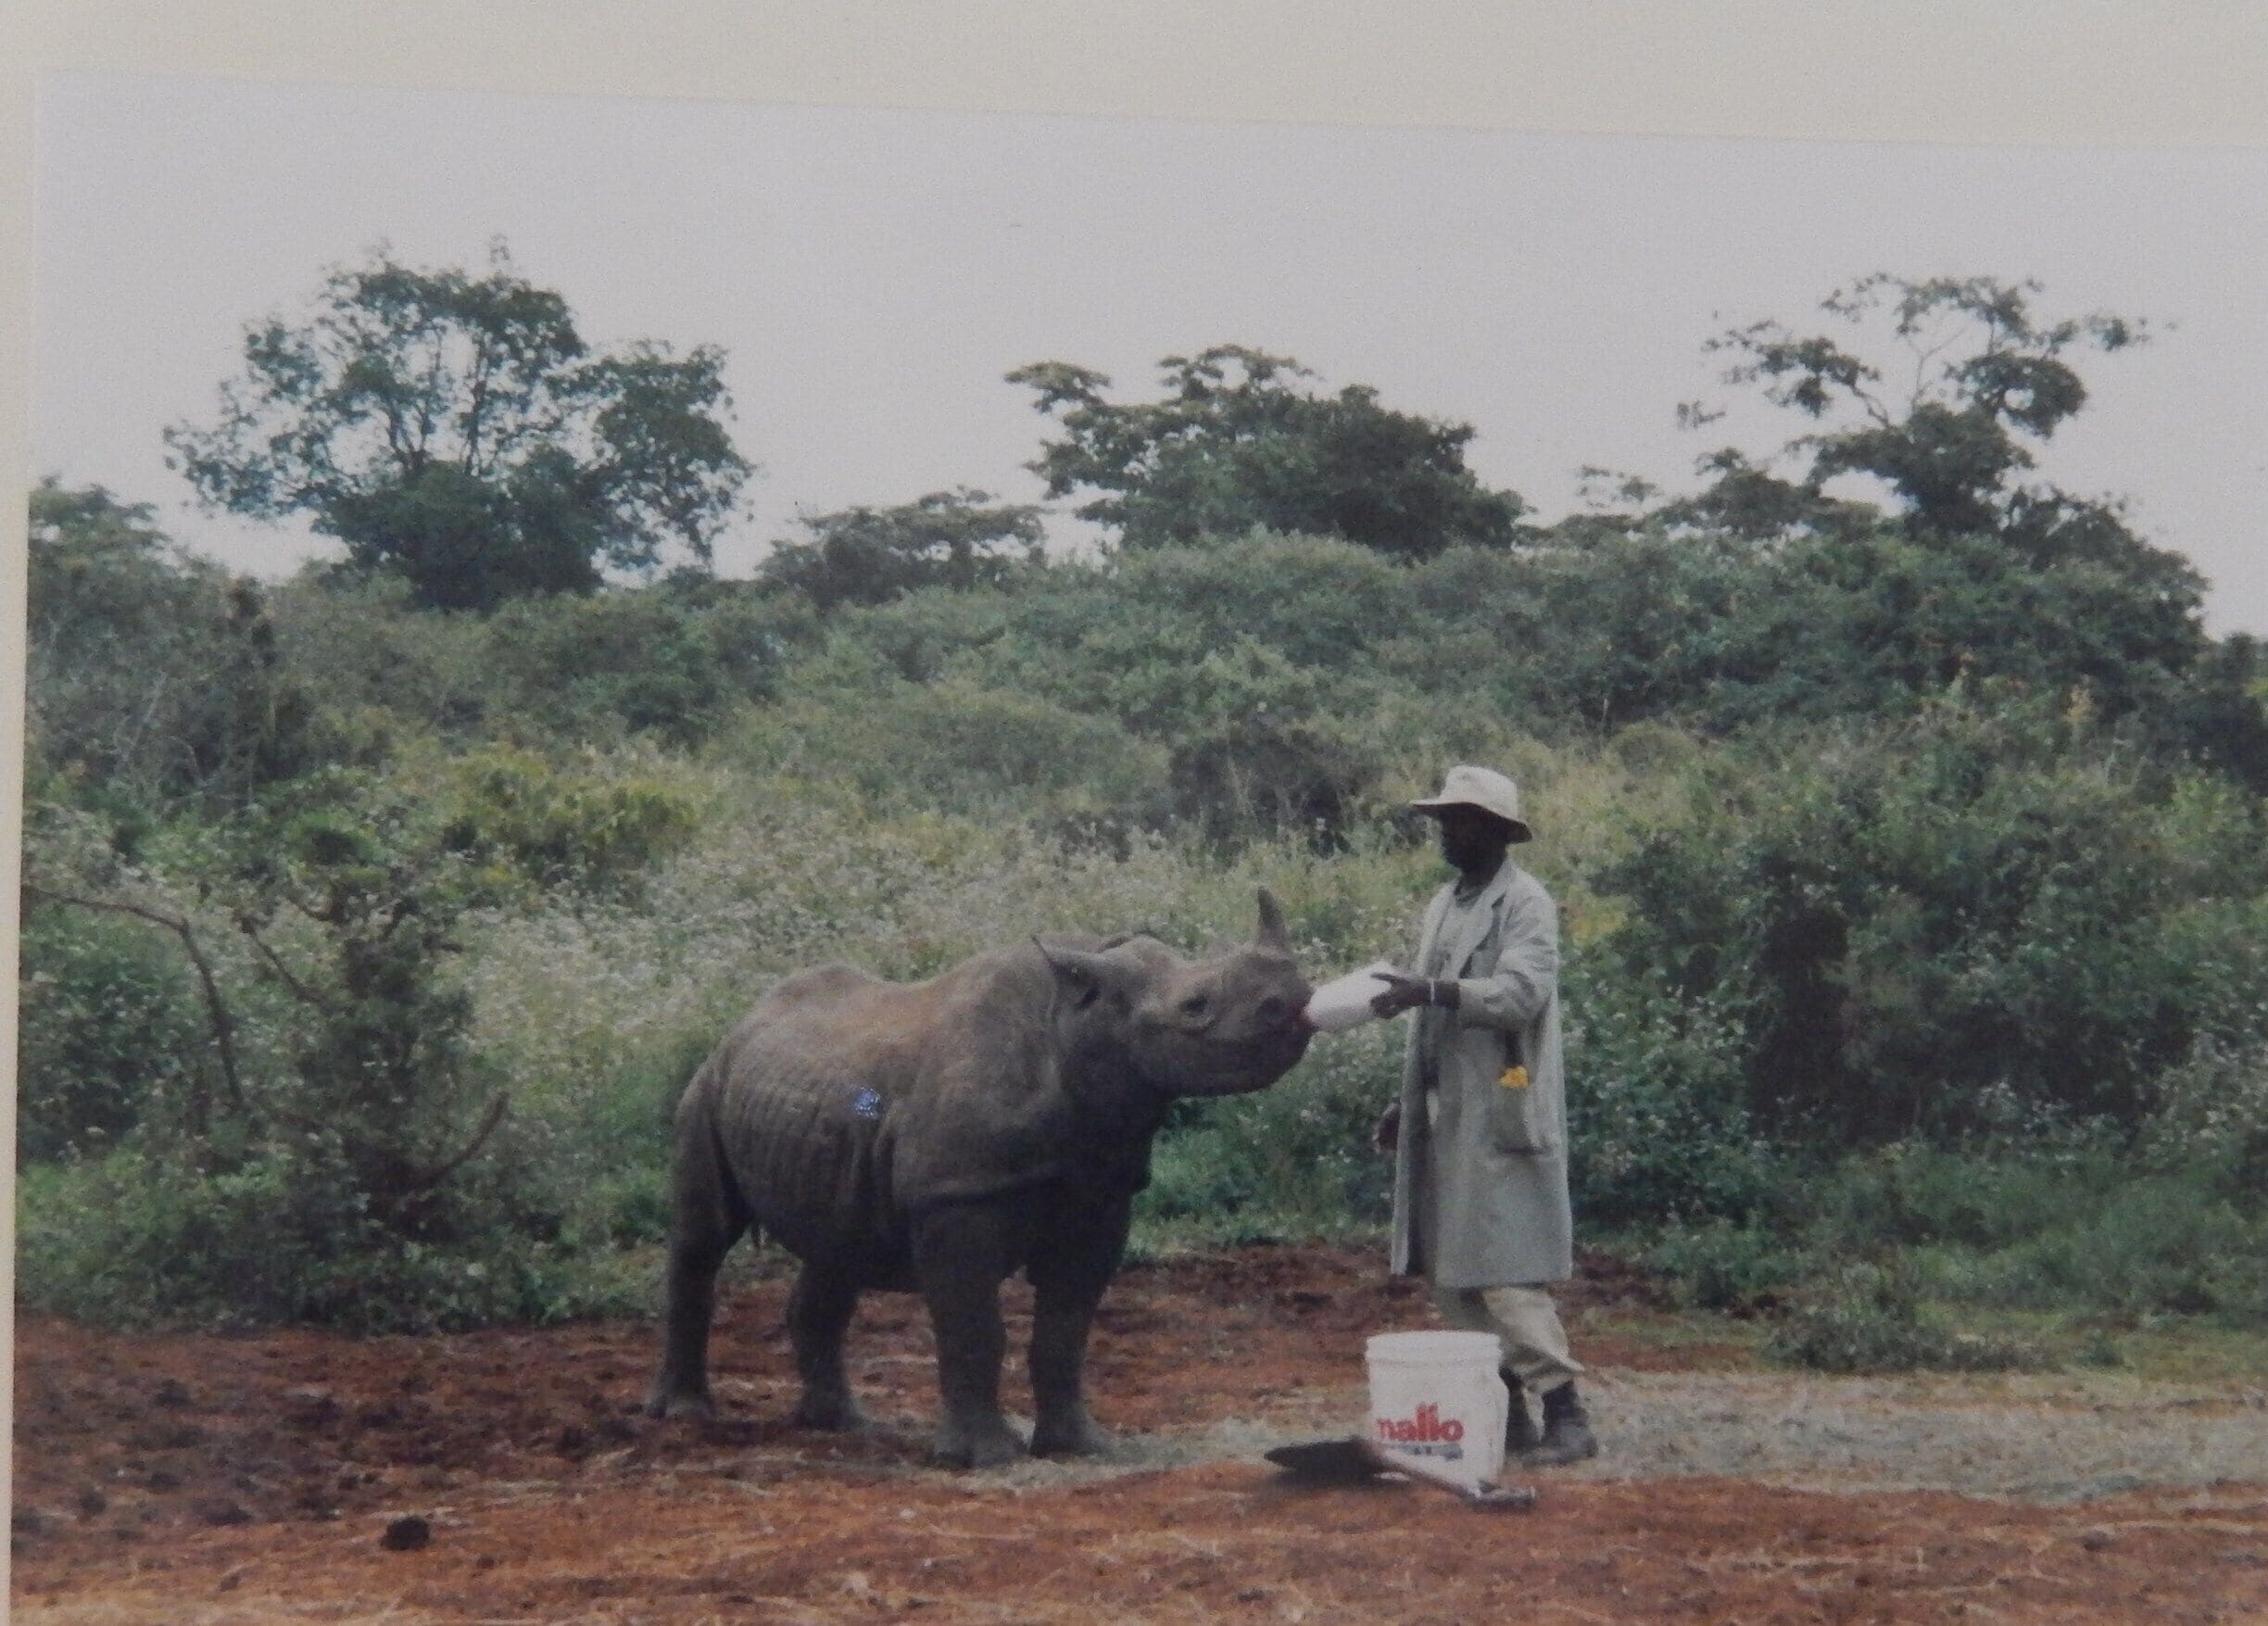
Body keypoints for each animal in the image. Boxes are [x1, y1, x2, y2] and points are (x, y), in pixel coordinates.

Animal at [644, 891, 1314, 1467]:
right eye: (1195, 1007)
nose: (1296, 998)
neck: (1077, 1024)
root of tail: (744, 1020)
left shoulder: (1098, 1188)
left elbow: (1067, 1326)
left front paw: (1081, 1446)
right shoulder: (957, 1195)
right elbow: (974, 1326)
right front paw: (985, 1457)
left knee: (836, 1248)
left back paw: (845, 1424)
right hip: (707, 1086)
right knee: (704, 1238)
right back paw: (685, 1413)